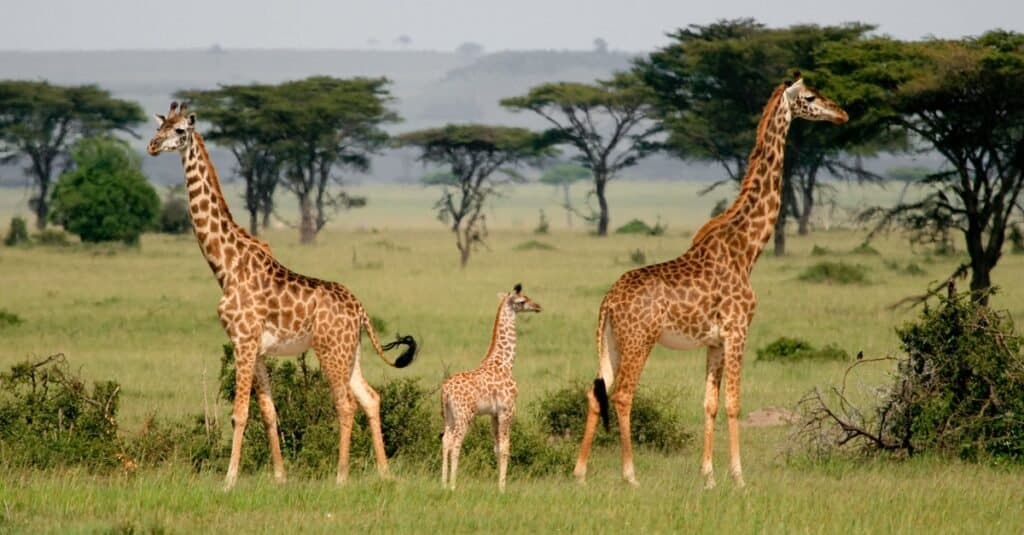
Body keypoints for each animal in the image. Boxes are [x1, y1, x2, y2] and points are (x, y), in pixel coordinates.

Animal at [146, 100, 417, 487]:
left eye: (180, 130)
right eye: (161, 125)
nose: (152, 146)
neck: (225, 266)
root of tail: (361, 310)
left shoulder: (242, 340)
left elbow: (240, 414)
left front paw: (229, 480)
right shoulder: (257, 349)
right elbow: (268, 411)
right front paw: (279, 476)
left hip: (330, 351)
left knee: (346, 404)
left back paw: (341, 476)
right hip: (351, 352)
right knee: (371, 398)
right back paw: (385, 474)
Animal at [440, 284, 544, 489]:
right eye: (522, 301)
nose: (537, 306)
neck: (505, 363)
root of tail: (445, 391)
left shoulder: (493, 414)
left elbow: (496, 447)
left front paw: (498, 484)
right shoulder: (507, 409)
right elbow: (505, 447)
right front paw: (502, 487)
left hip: (449, 416)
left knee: (446, 441)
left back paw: (443, 483)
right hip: (464, 415)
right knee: (455, 443)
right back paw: (453, 486)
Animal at [577, 74, 847, 487]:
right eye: (811, 97)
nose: (842, 113)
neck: (747, 249)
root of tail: (608, 301)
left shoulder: (714, 342)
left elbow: (709, 403)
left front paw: (708, 477)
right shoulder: (738, 332)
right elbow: (734, 403)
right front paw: (738, 477)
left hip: (612, 342)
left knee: (598, 393)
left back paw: (579, 473)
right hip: (640, 341)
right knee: (622, 395)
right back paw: (630, 475)